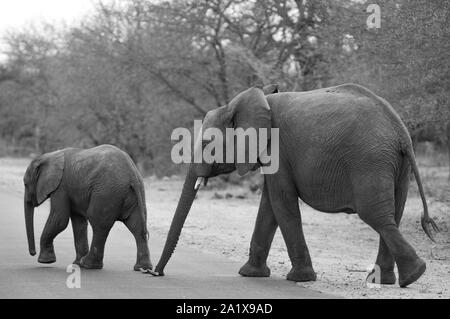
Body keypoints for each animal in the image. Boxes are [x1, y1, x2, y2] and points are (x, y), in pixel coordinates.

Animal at [23, 145, 153, 272]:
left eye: (25, 183)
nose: (33, 253)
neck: (50, 156)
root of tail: (132, 175)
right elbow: (78, 222)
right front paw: (75, 264)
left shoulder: (61, 187)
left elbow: (60, 219)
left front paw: (45, 261)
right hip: (135, 194)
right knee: (136, 226)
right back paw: (142, 268)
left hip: (106, 192)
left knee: (98, 223)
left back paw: (88, 264)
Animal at [153, 84, 438, 288]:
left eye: (205, 144)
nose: (156, 273)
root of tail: (400, 131)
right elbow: (269, 205)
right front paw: (250, 274)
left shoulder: (278, 149)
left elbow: (282, 202)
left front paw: (299, 279)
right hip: (396, 165)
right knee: (393, 214)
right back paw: (386, 280)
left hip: (370, 161)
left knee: (377, 215)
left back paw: (412, 275)